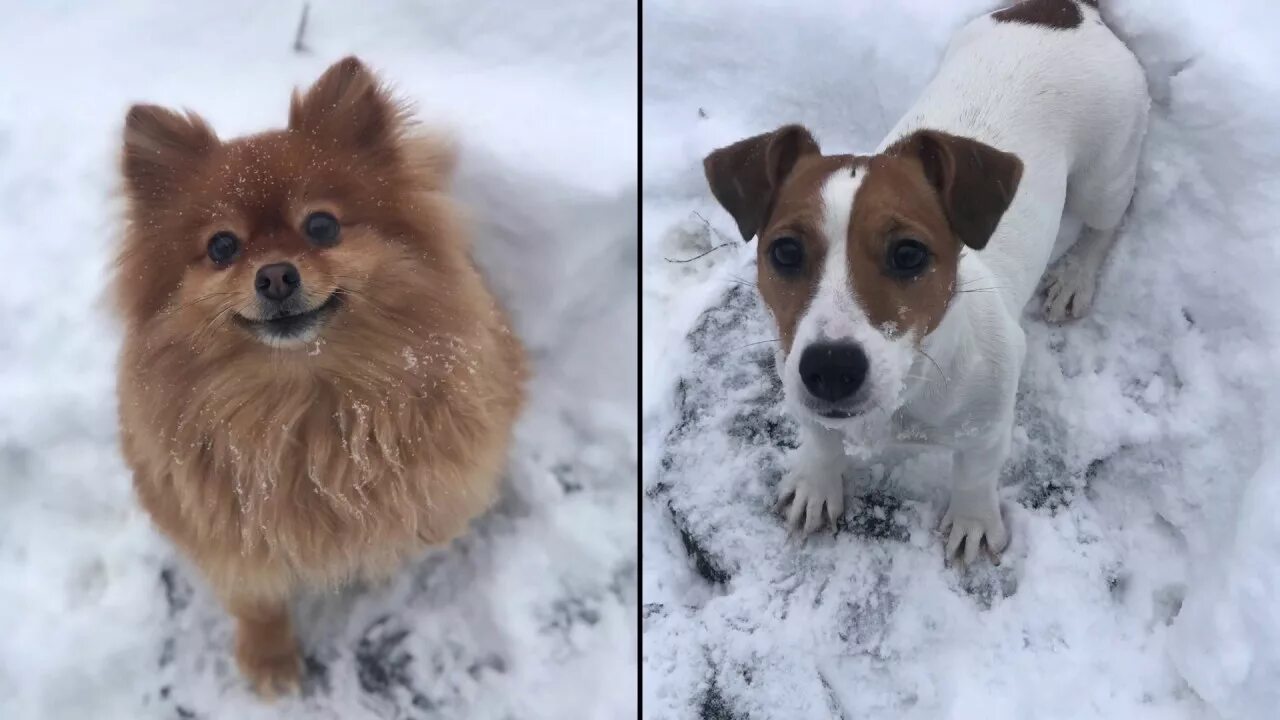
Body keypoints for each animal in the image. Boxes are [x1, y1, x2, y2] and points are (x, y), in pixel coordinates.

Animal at [112, 57, 527, 696]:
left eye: (322, 227)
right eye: (222, 246)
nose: (276, 276)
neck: (303, 403)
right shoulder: (227, 539)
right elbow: (257, 601)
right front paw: (269, 660)